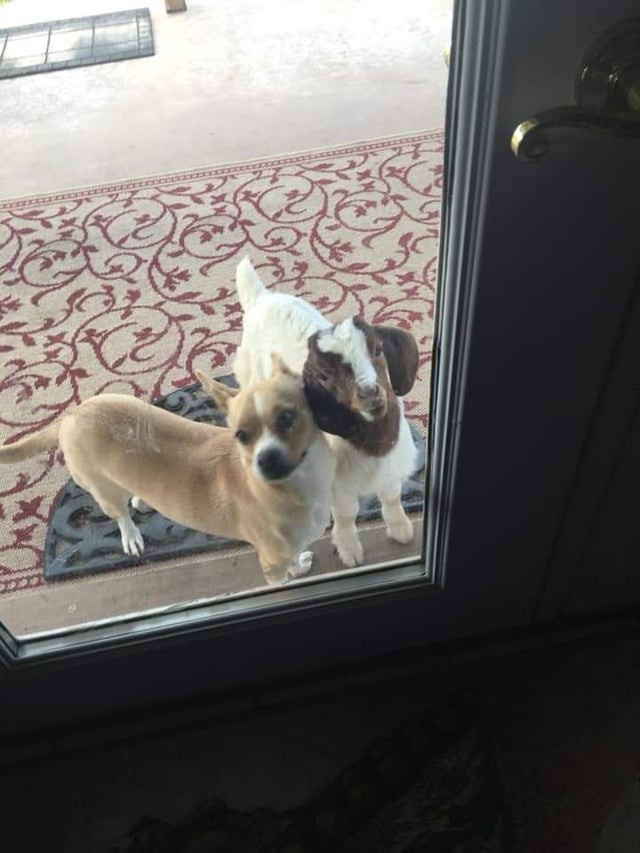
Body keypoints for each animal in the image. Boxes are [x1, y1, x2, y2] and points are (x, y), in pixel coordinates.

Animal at [0, 354, 338, 584]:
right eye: (240, 435)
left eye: (287, 417)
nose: (265, 461)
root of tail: (71, 414)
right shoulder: (271, 564)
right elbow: (285, 576)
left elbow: (296, 558)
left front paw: (301, 562)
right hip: (102, 490)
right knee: (120, 514)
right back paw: (131, 534)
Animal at [235, 258, 420, 564]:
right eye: (323, 376)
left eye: (378, 350)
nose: (369, 392)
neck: (373, 445)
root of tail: (261, 297)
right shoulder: (337, 485)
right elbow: (346, 515)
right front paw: (349, 551)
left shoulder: (391, 469)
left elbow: (392, 496)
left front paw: (401, 529)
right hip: (249, 374)